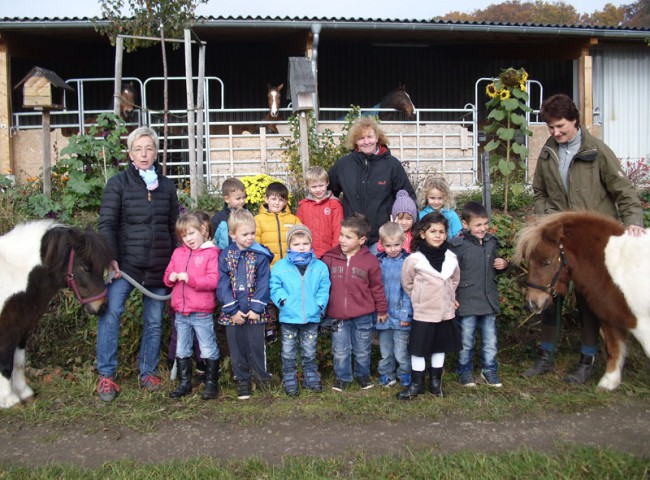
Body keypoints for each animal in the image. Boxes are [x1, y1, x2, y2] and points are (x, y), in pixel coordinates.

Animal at [0, 219, 112, 406]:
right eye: (86, 267)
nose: (102, 306)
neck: (12, 274)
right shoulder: (7, 329)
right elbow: (5, 362)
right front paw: (10, 400)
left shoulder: (22, 327)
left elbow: (19, 361)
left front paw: (24, 393)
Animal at [512, 212, 648, 392]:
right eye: (528, 261)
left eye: (547, 262)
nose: (532, 303)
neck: (618, 265)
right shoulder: (610, 316)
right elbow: (613, 348)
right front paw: (608, 382)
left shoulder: (641, 322)